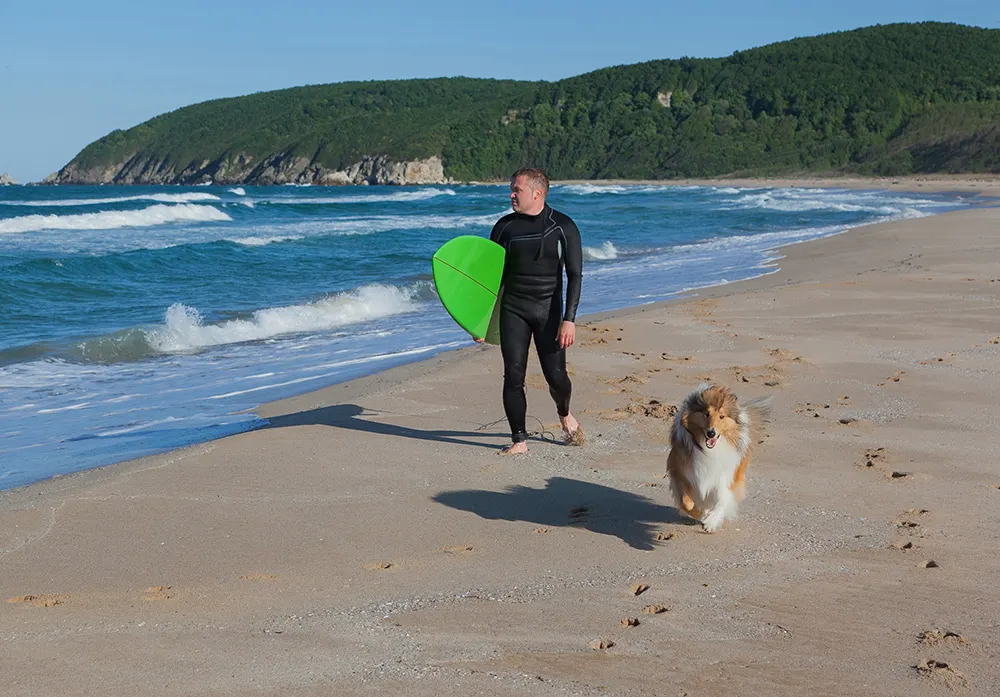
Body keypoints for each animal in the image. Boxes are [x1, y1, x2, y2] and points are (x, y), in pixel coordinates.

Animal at [668, 384, 768, 532]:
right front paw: (700, 514)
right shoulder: (680, 472)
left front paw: (711, 522)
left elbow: (721, 500)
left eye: (722, 416)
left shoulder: (723, 477)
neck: (709, 450)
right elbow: (686, 502)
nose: (711, 433)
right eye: (706, 414)